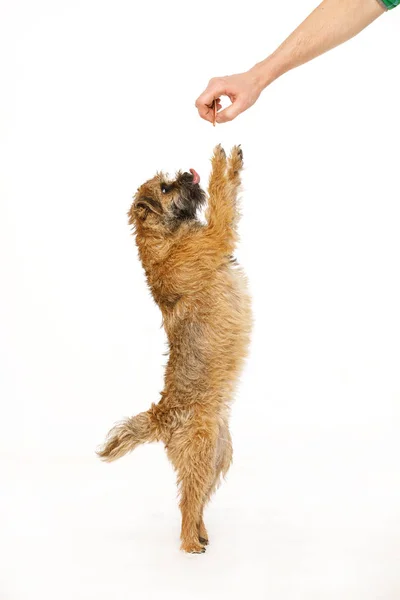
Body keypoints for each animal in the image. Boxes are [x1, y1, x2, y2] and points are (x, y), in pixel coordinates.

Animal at [98, 144, 252, 552]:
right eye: (165, 189)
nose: (186, 174)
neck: (167, 239)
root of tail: (160, 415)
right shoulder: (217, 233)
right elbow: (221, 198)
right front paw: (220, 161)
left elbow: (228, 194)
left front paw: (231, 161)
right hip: (202, 452)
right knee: (186, 503)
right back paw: (190, 545)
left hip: (219, 455)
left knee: (196, 502)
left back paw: (202, 533)